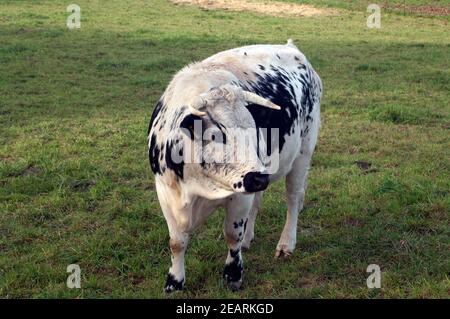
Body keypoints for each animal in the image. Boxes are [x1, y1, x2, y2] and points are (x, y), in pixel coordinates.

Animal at [147, 39, 320, 292]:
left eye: (253, 129)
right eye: (216, 135)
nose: (257, 178)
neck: (196, 187)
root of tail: (292, 48)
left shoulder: (238, 195)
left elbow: (232, 234)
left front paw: (233, 275)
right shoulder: (166, 192)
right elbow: (177, 242)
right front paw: (174, 281)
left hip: (302, 153)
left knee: (293, 199)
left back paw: (286, 243)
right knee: (258, 201)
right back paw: (249, 239)